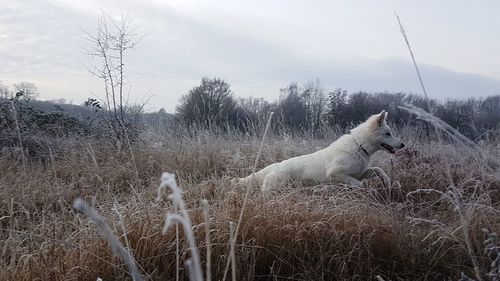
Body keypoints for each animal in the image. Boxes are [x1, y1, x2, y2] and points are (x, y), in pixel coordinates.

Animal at [233, 110, 402, 191]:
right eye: (388, 133)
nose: (403, 145)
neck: (359, 145)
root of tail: (276, 166)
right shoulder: (336, 174)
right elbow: (359, 184)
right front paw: (363, 187)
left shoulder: (359, 172)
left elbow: (377, 169)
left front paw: (386, 180)